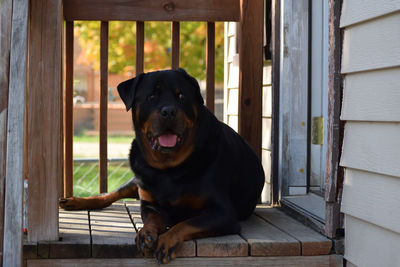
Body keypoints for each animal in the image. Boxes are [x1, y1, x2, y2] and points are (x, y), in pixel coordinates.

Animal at [59, 68, 264, 264]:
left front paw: (167, 240)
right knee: (109, 195)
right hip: (137, 180)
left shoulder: (223, 213)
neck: (169, 169)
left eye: (181, 95)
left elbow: (185, 223)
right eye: (151, 96)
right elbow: (151, 219)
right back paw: (75, 201)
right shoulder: (150, 204)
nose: (169, 111)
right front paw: (146, 233)